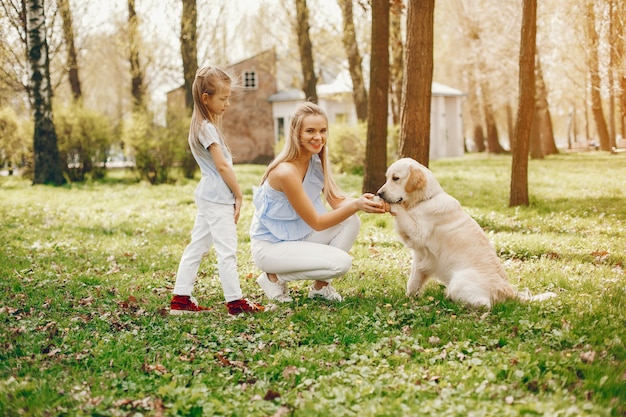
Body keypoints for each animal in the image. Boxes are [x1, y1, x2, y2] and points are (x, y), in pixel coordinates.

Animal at [372, 158, 552, 308]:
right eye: (387, 178)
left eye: (396, 178)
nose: (379, 193)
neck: (425, 200)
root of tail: (508, 290)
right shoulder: (421, 257)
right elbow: (413, 282)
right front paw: (408, 298)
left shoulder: (419, 233)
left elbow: (401, 212)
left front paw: (388, 205)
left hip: (459, 282)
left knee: (485, 304)